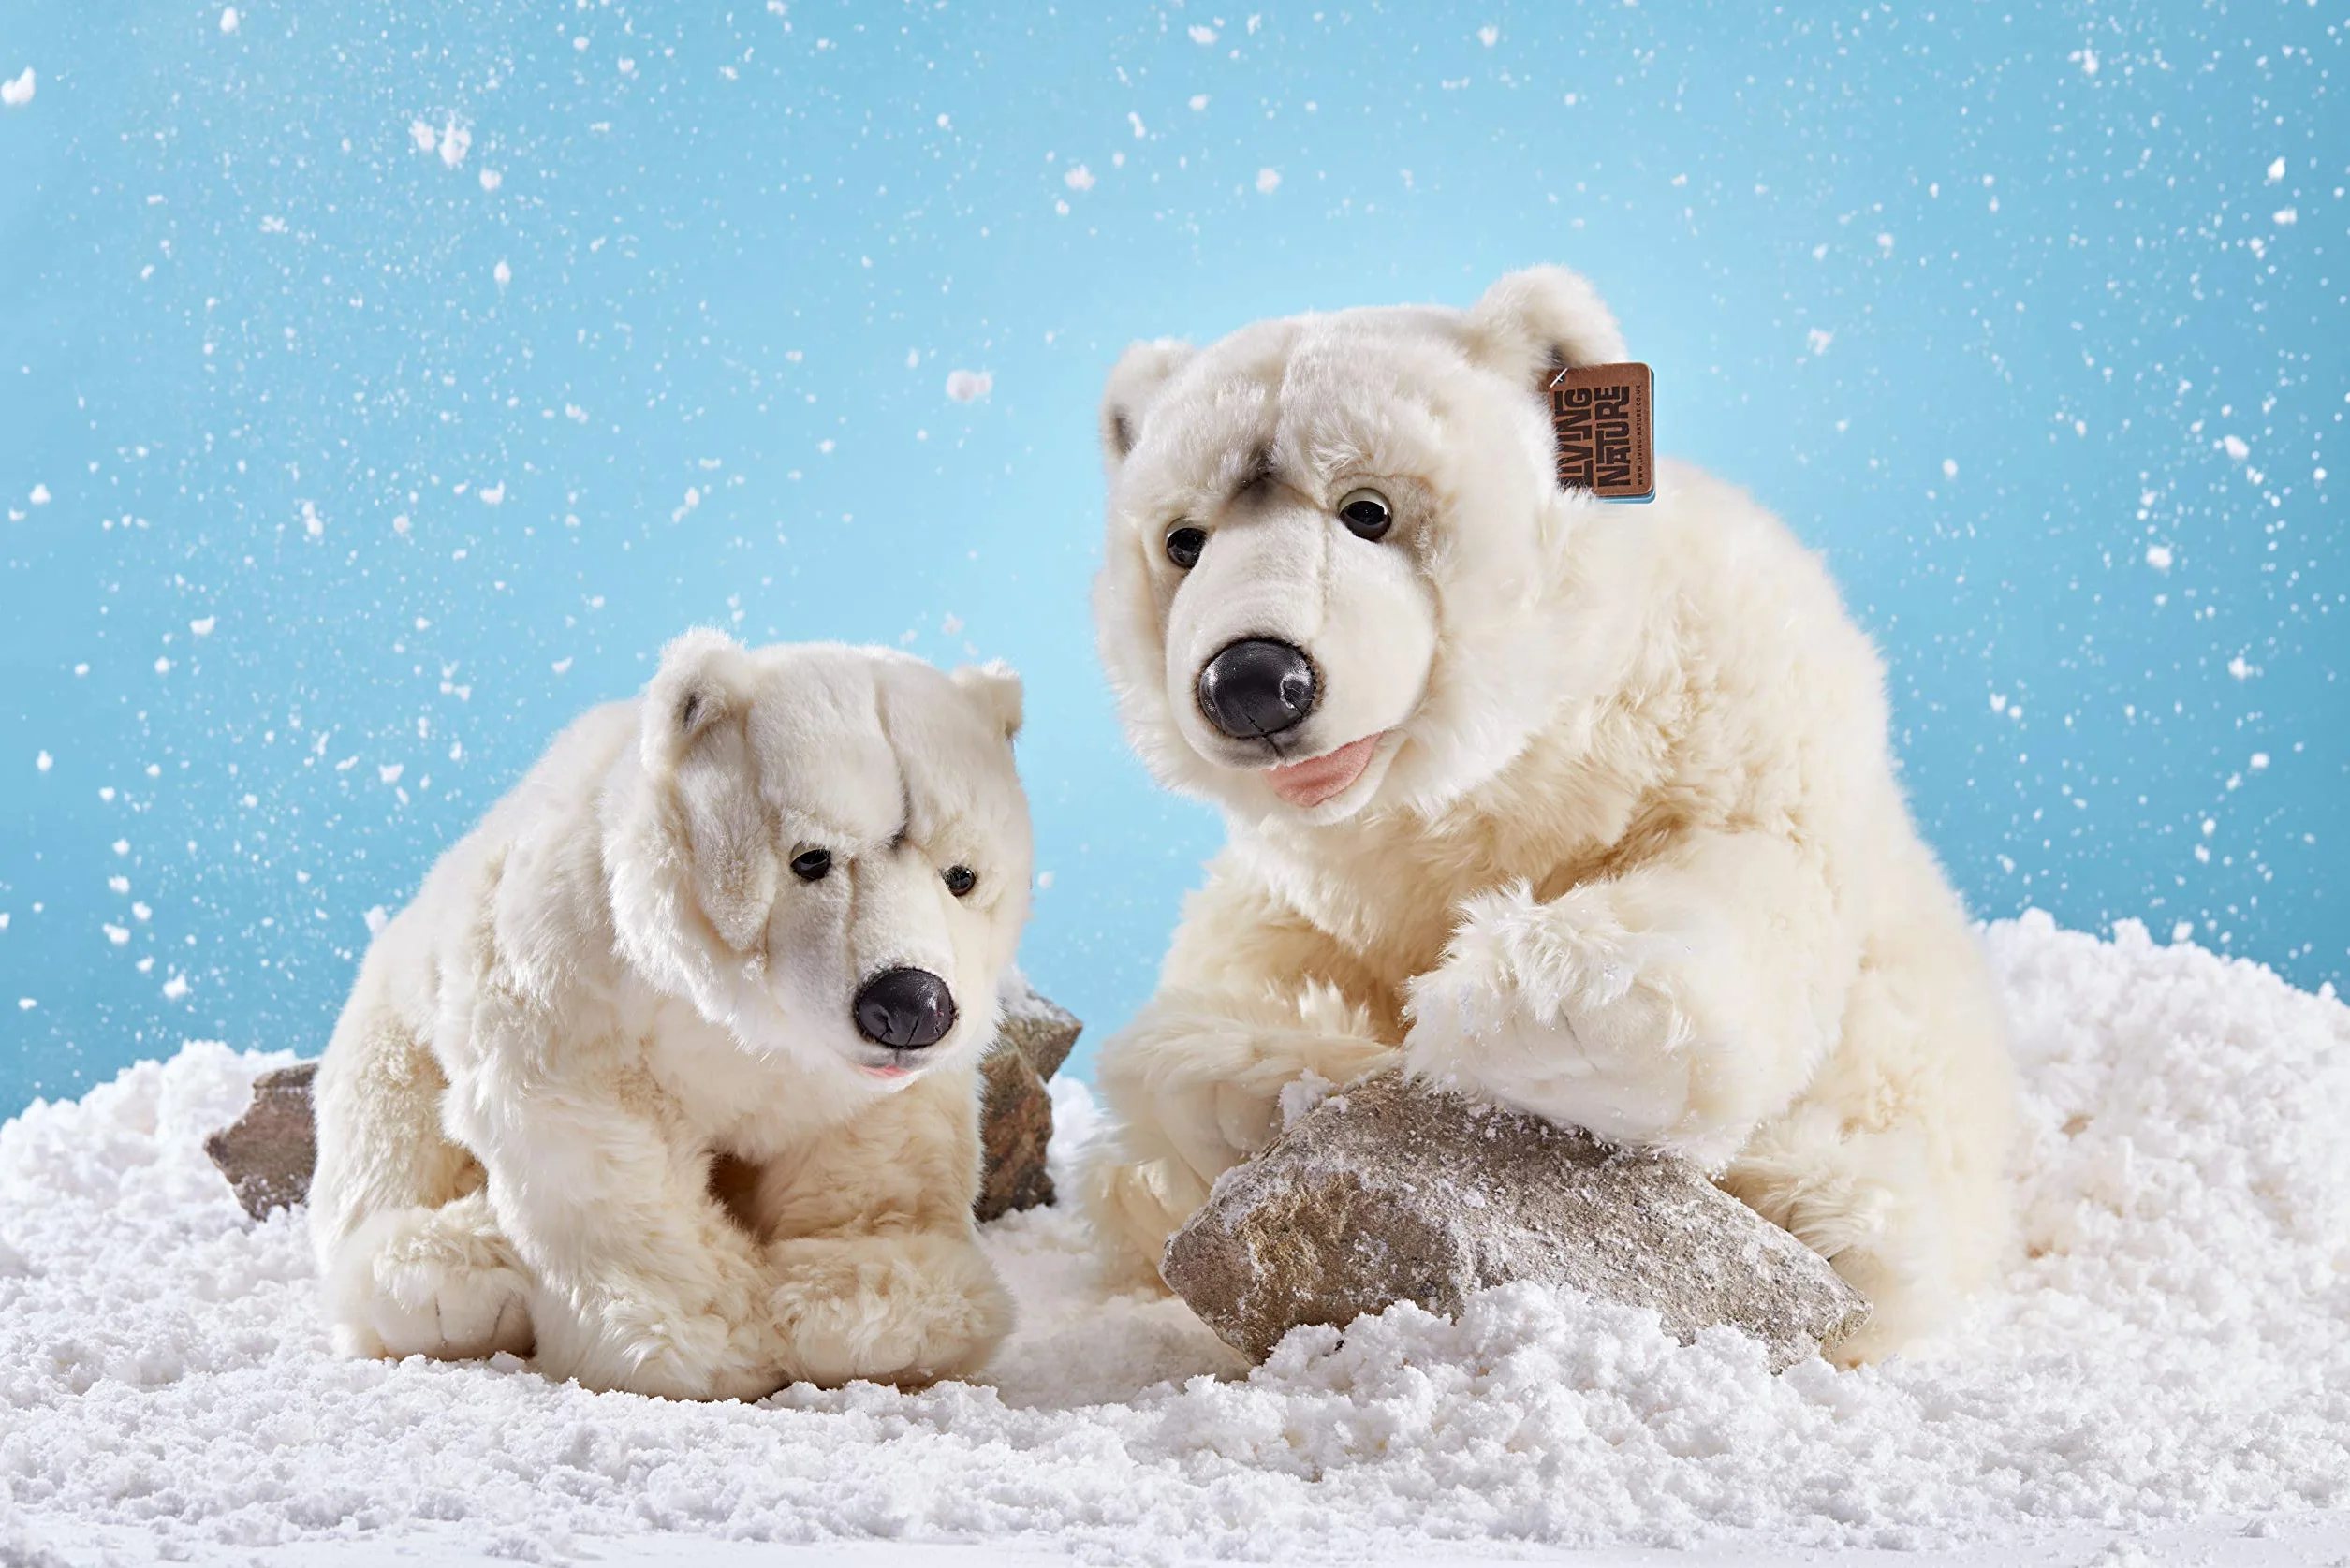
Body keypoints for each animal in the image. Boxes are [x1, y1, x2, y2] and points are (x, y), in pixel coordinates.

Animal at [307, 631, 1032, 1398]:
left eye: (963, 875)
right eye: (811, 857)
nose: (910, 1005)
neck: (741, 1020)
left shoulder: (856, 1080)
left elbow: (875, 1153)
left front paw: (881, 1318)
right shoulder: (580, 975)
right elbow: (610, 1149)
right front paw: (699, 1340)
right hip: (393, 1037)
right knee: (391, 1150)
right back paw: (451, 1281)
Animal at [1080, 266, 2018, 1363]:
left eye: (1368, 509)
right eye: (1181, 541)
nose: (1250, 680)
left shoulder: (1730, 711)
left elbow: (1746, 876)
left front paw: (1554, 1010)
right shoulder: (1320, 875)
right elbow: (1252, 948)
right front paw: (1241, 1071)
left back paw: (1816, 1206)